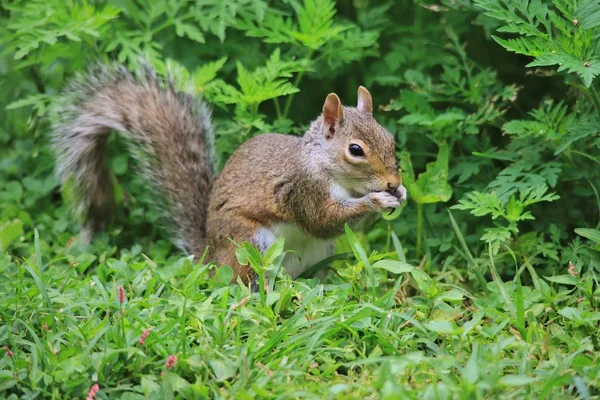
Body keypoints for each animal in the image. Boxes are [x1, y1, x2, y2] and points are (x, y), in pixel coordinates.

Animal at [54, 63, 406, 284]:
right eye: (356, 150)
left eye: (390, 139)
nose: (394, 182)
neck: (327, 167)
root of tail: (209, 258)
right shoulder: (302, 188)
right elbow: (321, 220)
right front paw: (376, 201)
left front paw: (399, 194)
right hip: (248, 245)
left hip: (318, 254)